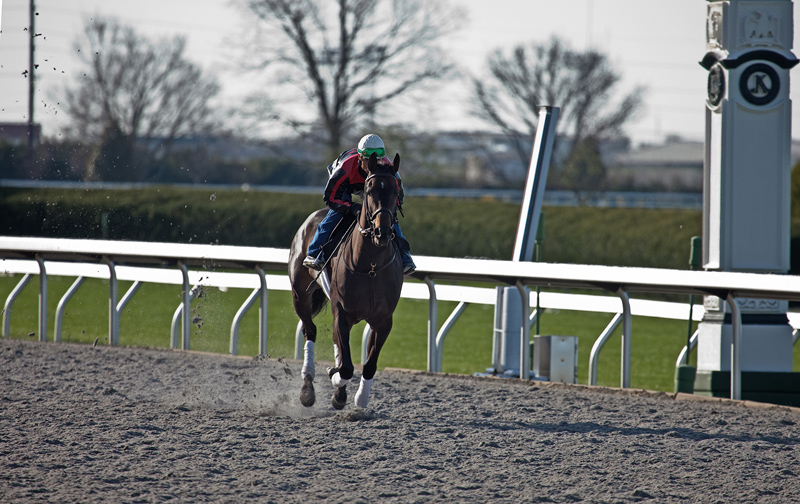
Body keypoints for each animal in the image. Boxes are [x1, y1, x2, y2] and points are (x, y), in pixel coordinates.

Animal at [286, 153, 404, 410]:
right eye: (369, 190)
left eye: (395, 189)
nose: (382, 232)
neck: (370, 268)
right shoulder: (342, 312)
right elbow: (347, 368)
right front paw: (335, 376)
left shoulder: (383, 320)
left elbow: (368, 364)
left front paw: (359, 398)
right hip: (300, 294)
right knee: (310, 330)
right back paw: (308, 388)